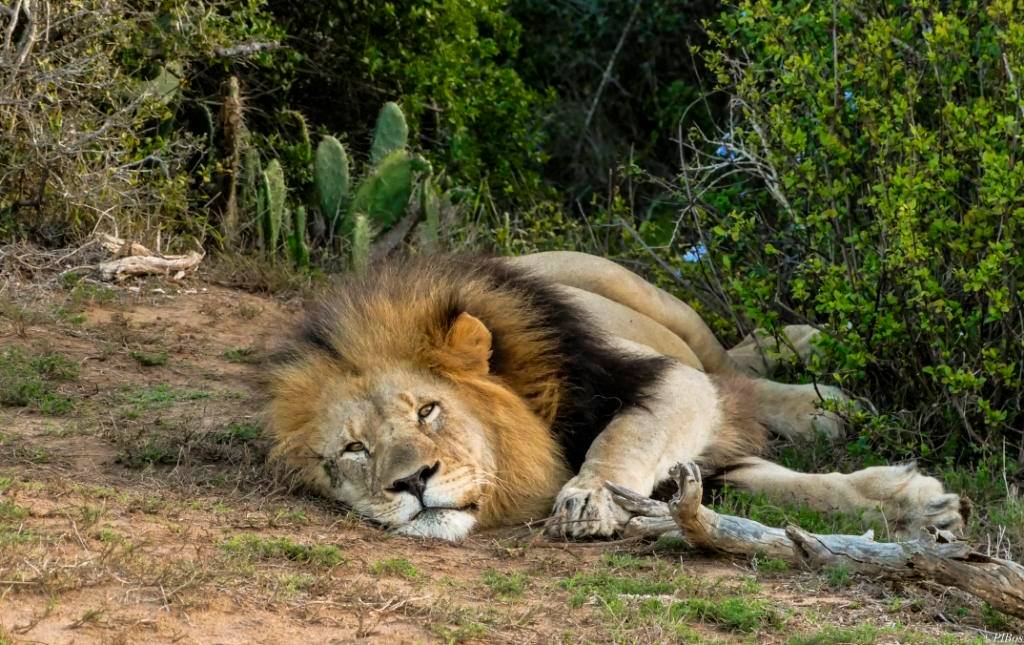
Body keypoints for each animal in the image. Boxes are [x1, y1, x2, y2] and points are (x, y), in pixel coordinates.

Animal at [266, 252, 966, 540]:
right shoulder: (703, 465)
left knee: (729, 360)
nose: (411, 483)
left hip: (645, 296)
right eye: (354, 450)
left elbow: (625, 435)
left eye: (427, 410)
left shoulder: (663, 380)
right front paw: (917, 510)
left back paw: (819, 385)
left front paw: (588, 498)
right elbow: (790, 488)